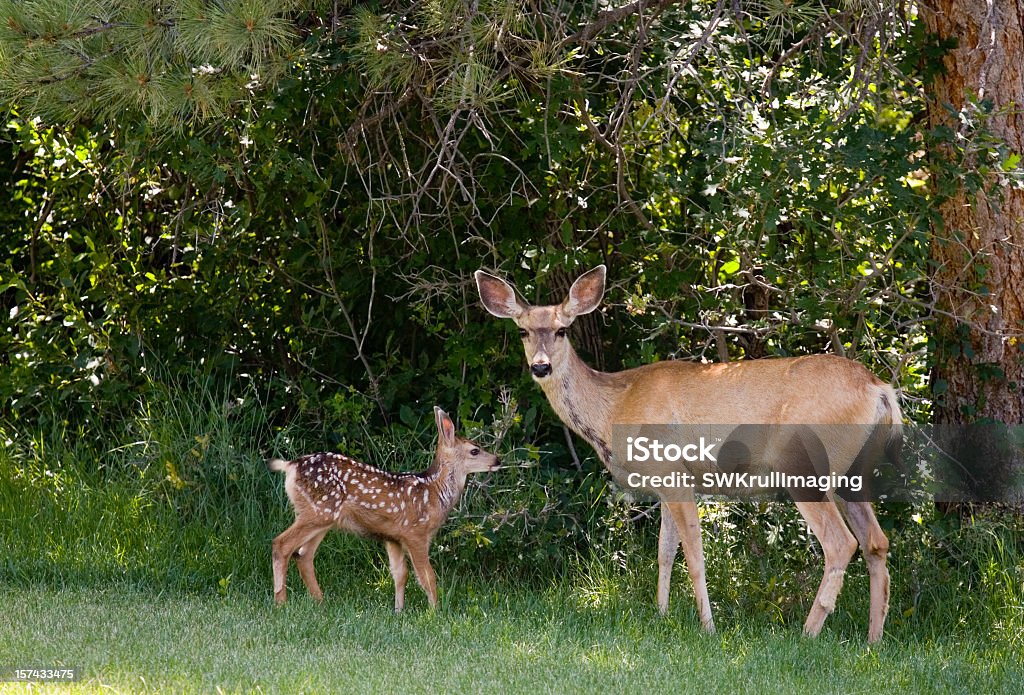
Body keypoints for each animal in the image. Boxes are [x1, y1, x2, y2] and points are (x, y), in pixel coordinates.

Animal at [270, 405, 497, 610]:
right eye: (475, 450)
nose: (497, 459)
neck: (433, 492)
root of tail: (290, 466)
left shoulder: (392, 538)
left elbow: (400, 574)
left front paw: (398, 611)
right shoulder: (416, 533)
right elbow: (427, 576)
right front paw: (435, 612)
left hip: (321, 517)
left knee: (303, 555)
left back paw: (320, 602)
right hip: (318, 512)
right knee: (281, 545)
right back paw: (281, 603)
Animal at [475, 264, 901, 642]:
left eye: (562, 330)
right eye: (523, 331)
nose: (540, 367)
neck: (615, 406)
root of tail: (880, 389)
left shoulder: (674, 473)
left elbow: (694, 556)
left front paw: (708, 628)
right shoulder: (664, 483)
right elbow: (664, 552)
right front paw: (661, 615)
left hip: (805, 467)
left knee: (841, 543)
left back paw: (808, 633)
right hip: (854, 473)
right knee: (876, 541)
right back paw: (873, 639)